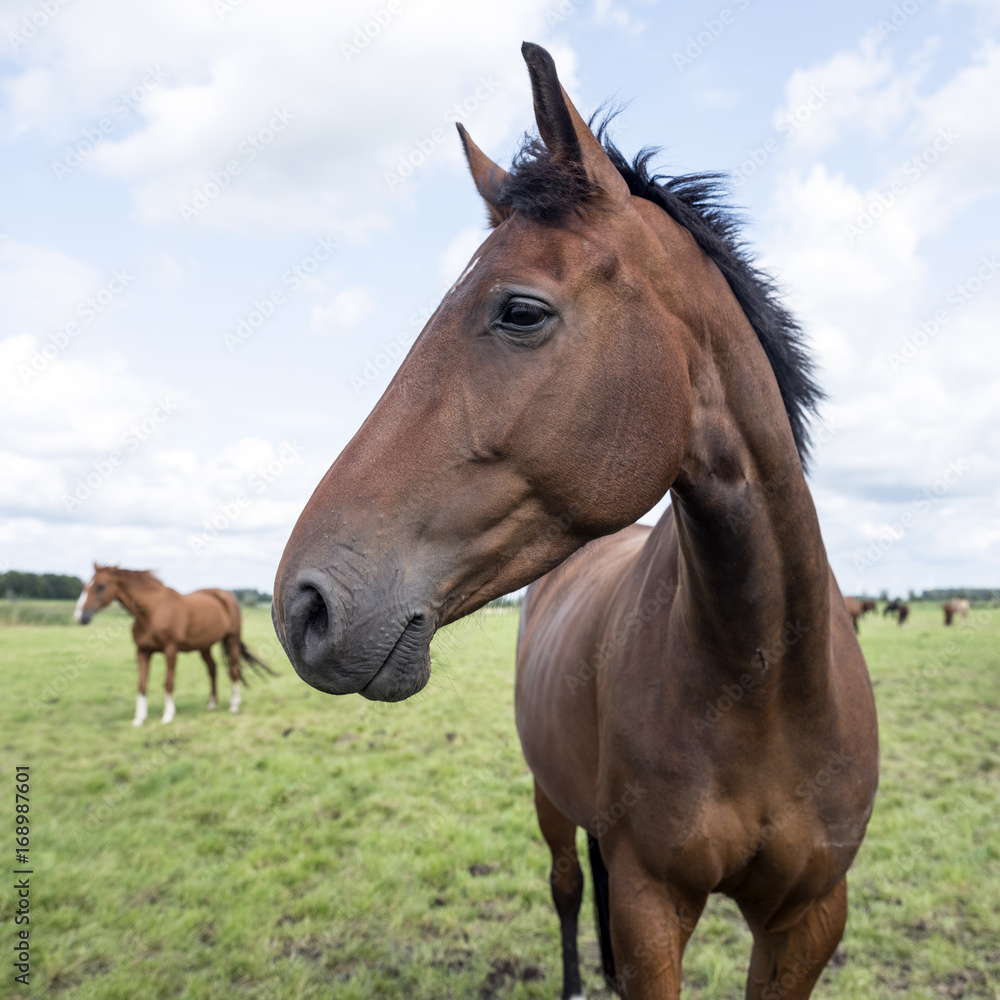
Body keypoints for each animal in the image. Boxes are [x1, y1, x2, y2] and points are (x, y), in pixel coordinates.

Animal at [75, 564, 273, 725]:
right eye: (85, 586)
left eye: (100, 586)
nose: (79, 617)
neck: (152, 611)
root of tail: (225, 595)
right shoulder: (142, 652)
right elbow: (142, 684)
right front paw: (139, 718)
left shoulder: (170, 650)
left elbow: (168, 682)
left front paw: (168, 715)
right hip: (204, 646)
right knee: (212, 669)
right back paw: (212, 703)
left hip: (231, 639)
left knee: (234, 669)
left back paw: (234, 705)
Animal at [271, 43, 879, 1000]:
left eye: (520, 310)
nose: (304, 605)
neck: (766, 683)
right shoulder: (651, 904)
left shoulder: (810, 918)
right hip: (552, 801)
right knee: (564, 888)